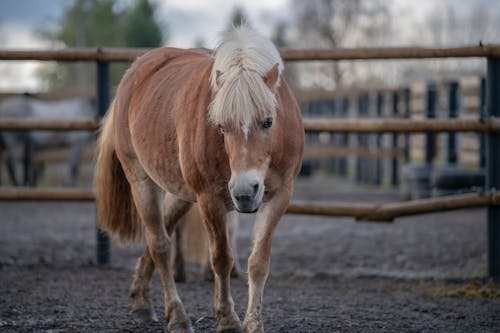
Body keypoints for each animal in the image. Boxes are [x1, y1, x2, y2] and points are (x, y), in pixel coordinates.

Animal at [94, 26, 304, 332]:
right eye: (221, 127)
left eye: (268, 121)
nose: (244, 192)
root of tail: (136, 71)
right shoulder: (210, 200)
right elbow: (221, 258)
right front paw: (228, 320)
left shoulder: (278, 197)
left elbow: (258, 262)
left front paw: (253, 323)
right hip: (141, 181)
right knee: (160, 244)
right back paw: (177, 316)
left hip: (180, 195)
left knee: (161, 235)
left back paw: (141, 301)